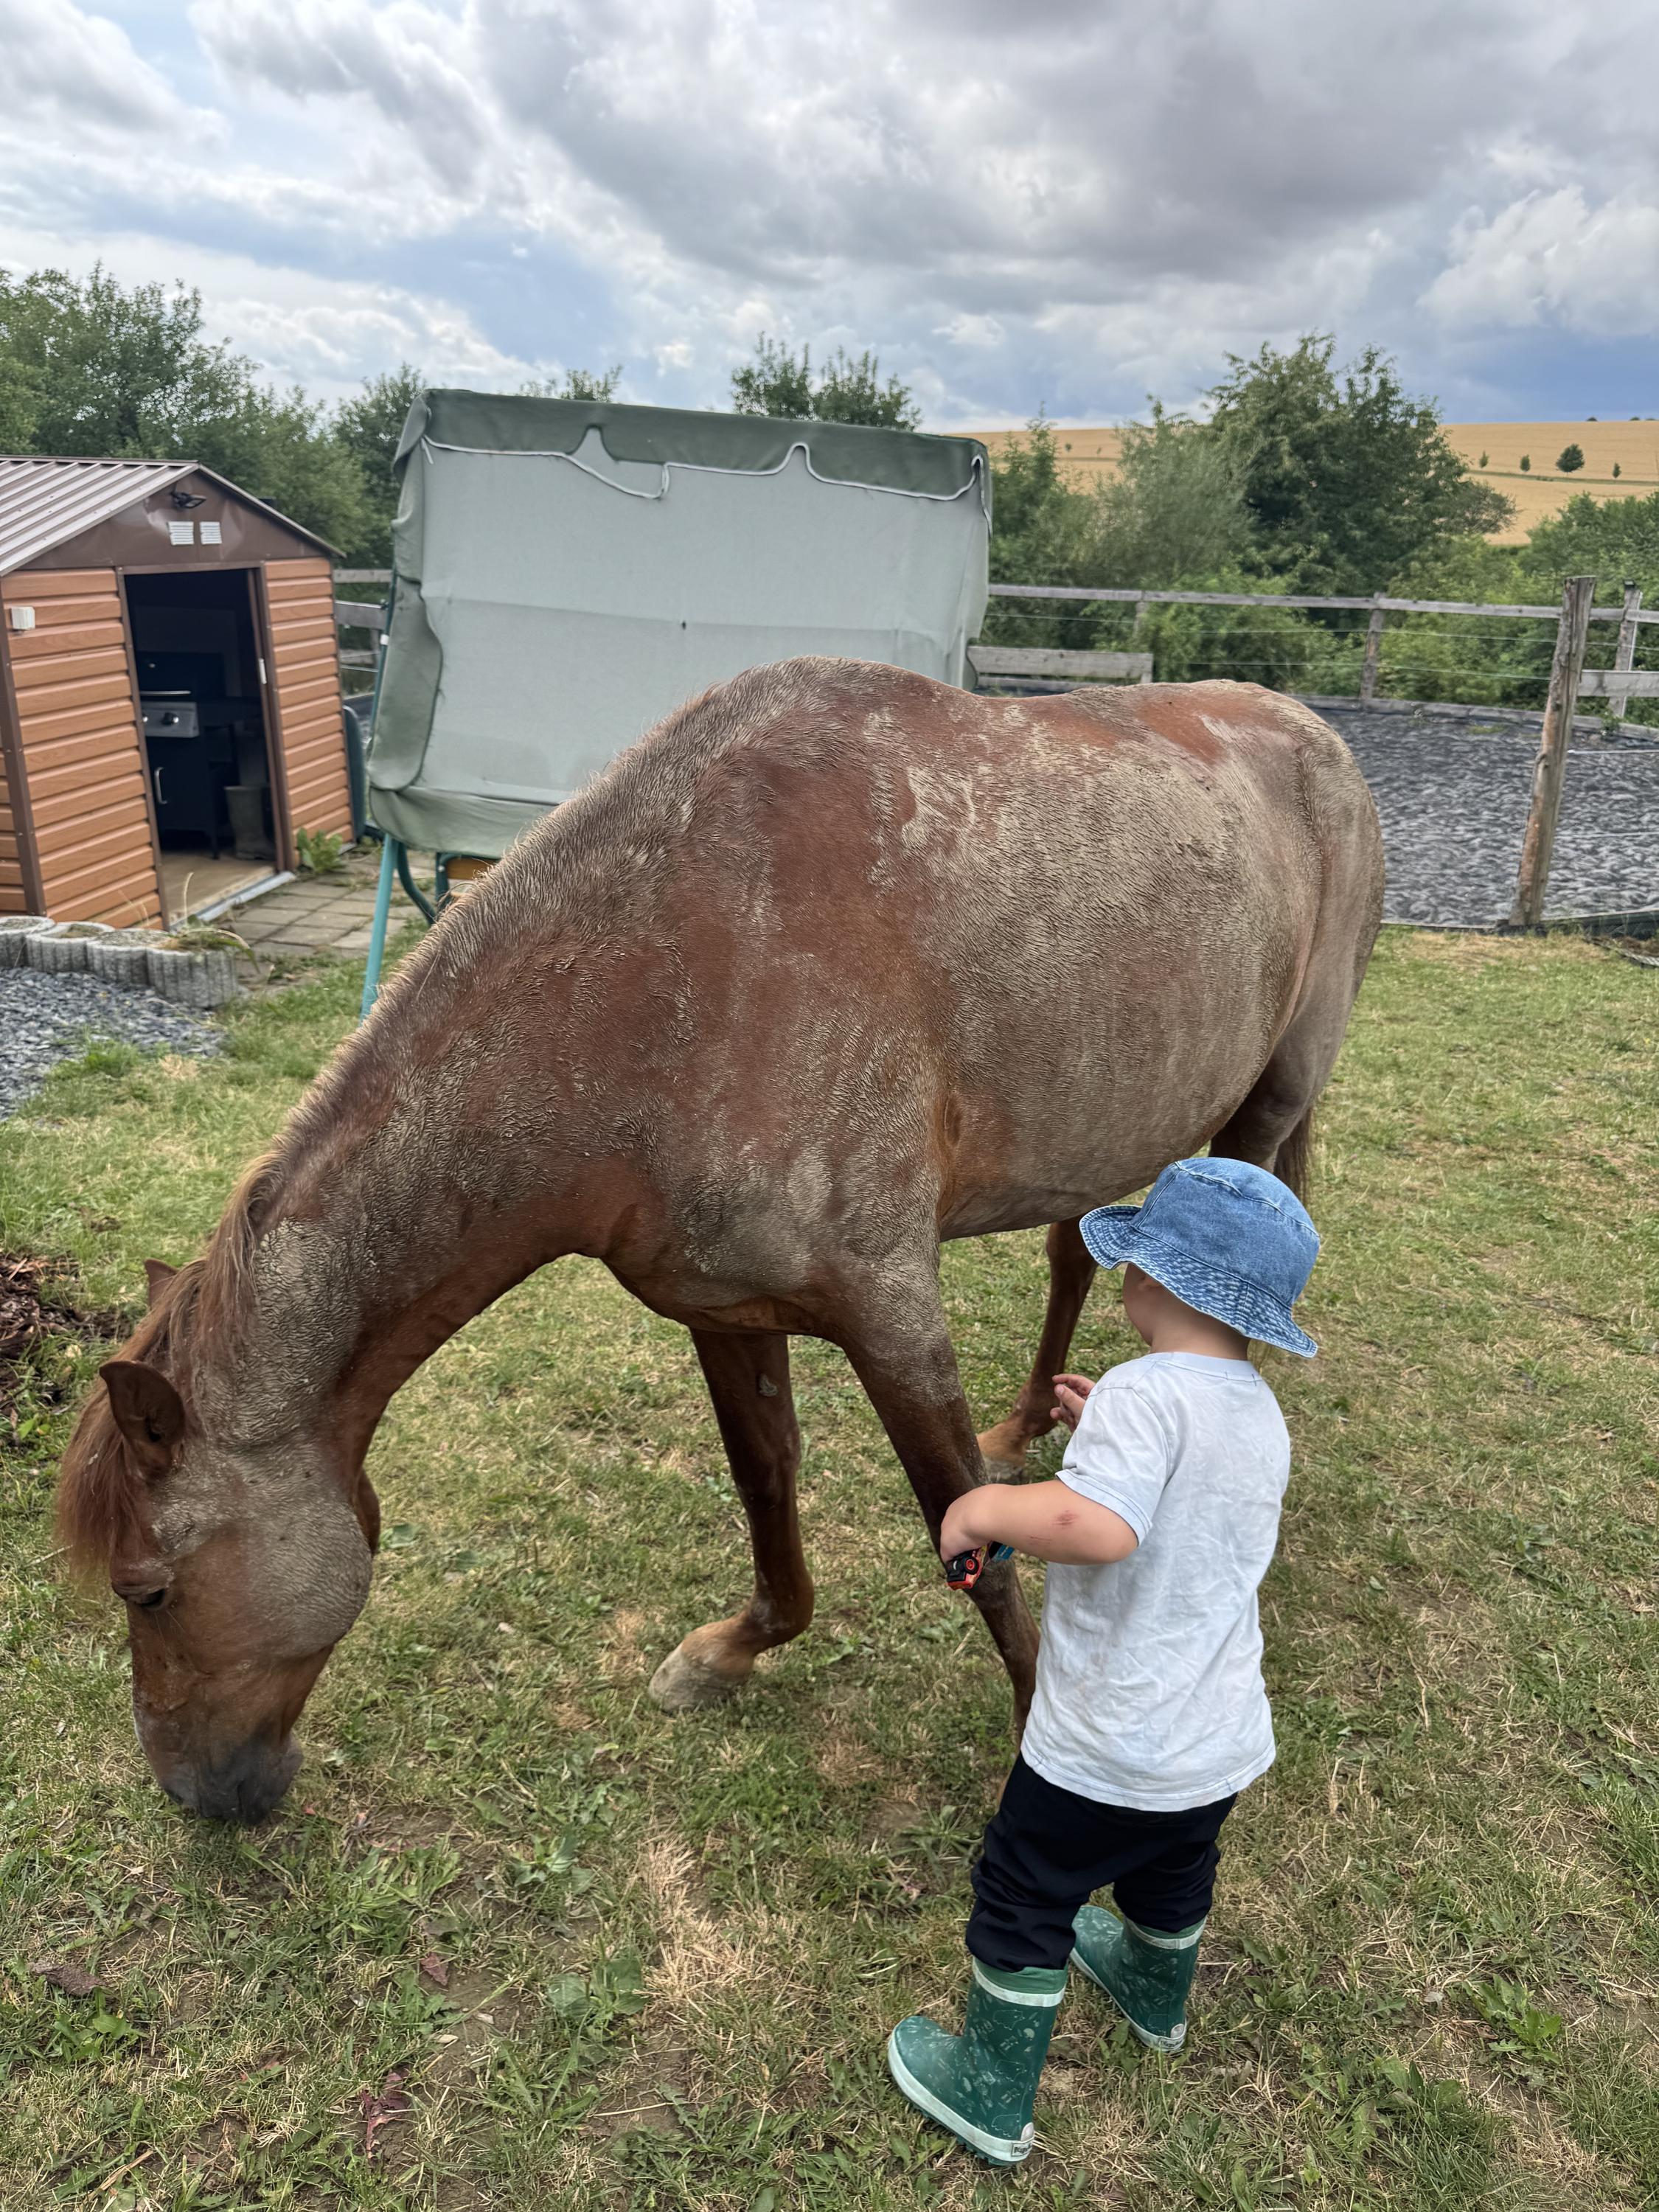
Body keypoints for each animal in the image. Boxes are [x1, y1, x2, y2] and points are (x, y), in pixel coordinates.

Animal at [56, 658, 1383, 1821]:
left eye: (150, 1590)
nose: (198, 1795)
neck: (667, 984)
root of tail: (1320, 741)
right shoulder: (724, 1310)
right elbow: (767, 1484)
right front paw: (734, 1650)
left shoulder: (893, 1315)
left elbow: (972, 1540)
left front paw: (1044, 1753)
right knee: (1075, 1261)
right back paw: (1030, 1423)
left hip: (1262, 1110)